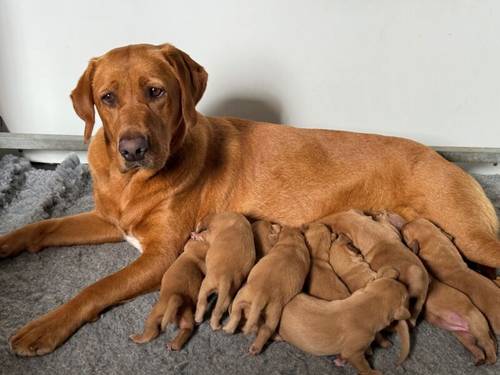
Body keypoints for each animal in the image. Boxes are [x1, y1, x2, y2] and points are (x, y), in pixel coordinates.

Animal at [223, 226, 308, 356]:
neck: (291, 241)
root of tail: (261, 295)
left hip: (246, 297)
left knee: (243, 317)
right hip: (272, 312)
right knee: (265, 329)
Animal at [278, 270, 410, 375]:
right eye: (406, 297)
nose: (406, 287)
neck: (367, 304)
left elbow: (378, 335)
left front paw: (384, 341)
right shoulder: (354, 354)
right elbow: (363, 365)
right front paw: (372, 372)